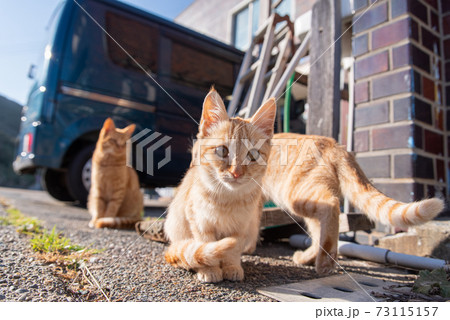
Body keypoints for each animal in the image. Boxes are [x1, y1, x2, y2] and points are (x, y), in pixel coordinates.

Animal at [163, 88, 276, 282]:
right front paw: (210, 270)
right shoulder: (200, 223)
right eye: (222, 150)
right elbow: (206, 246)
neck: (227, 200)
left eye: (253, 155)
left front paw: (232, 267)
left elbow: (233, 250)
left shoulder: (241, 228)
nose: (236, 173)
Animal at [264, 132, 442, 272]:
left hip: (298, 197)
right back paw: (307, 258)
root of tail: (335, 145)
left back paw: (325, 264)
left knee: (332, 207)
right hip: (309, 205)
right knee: (318, 231)